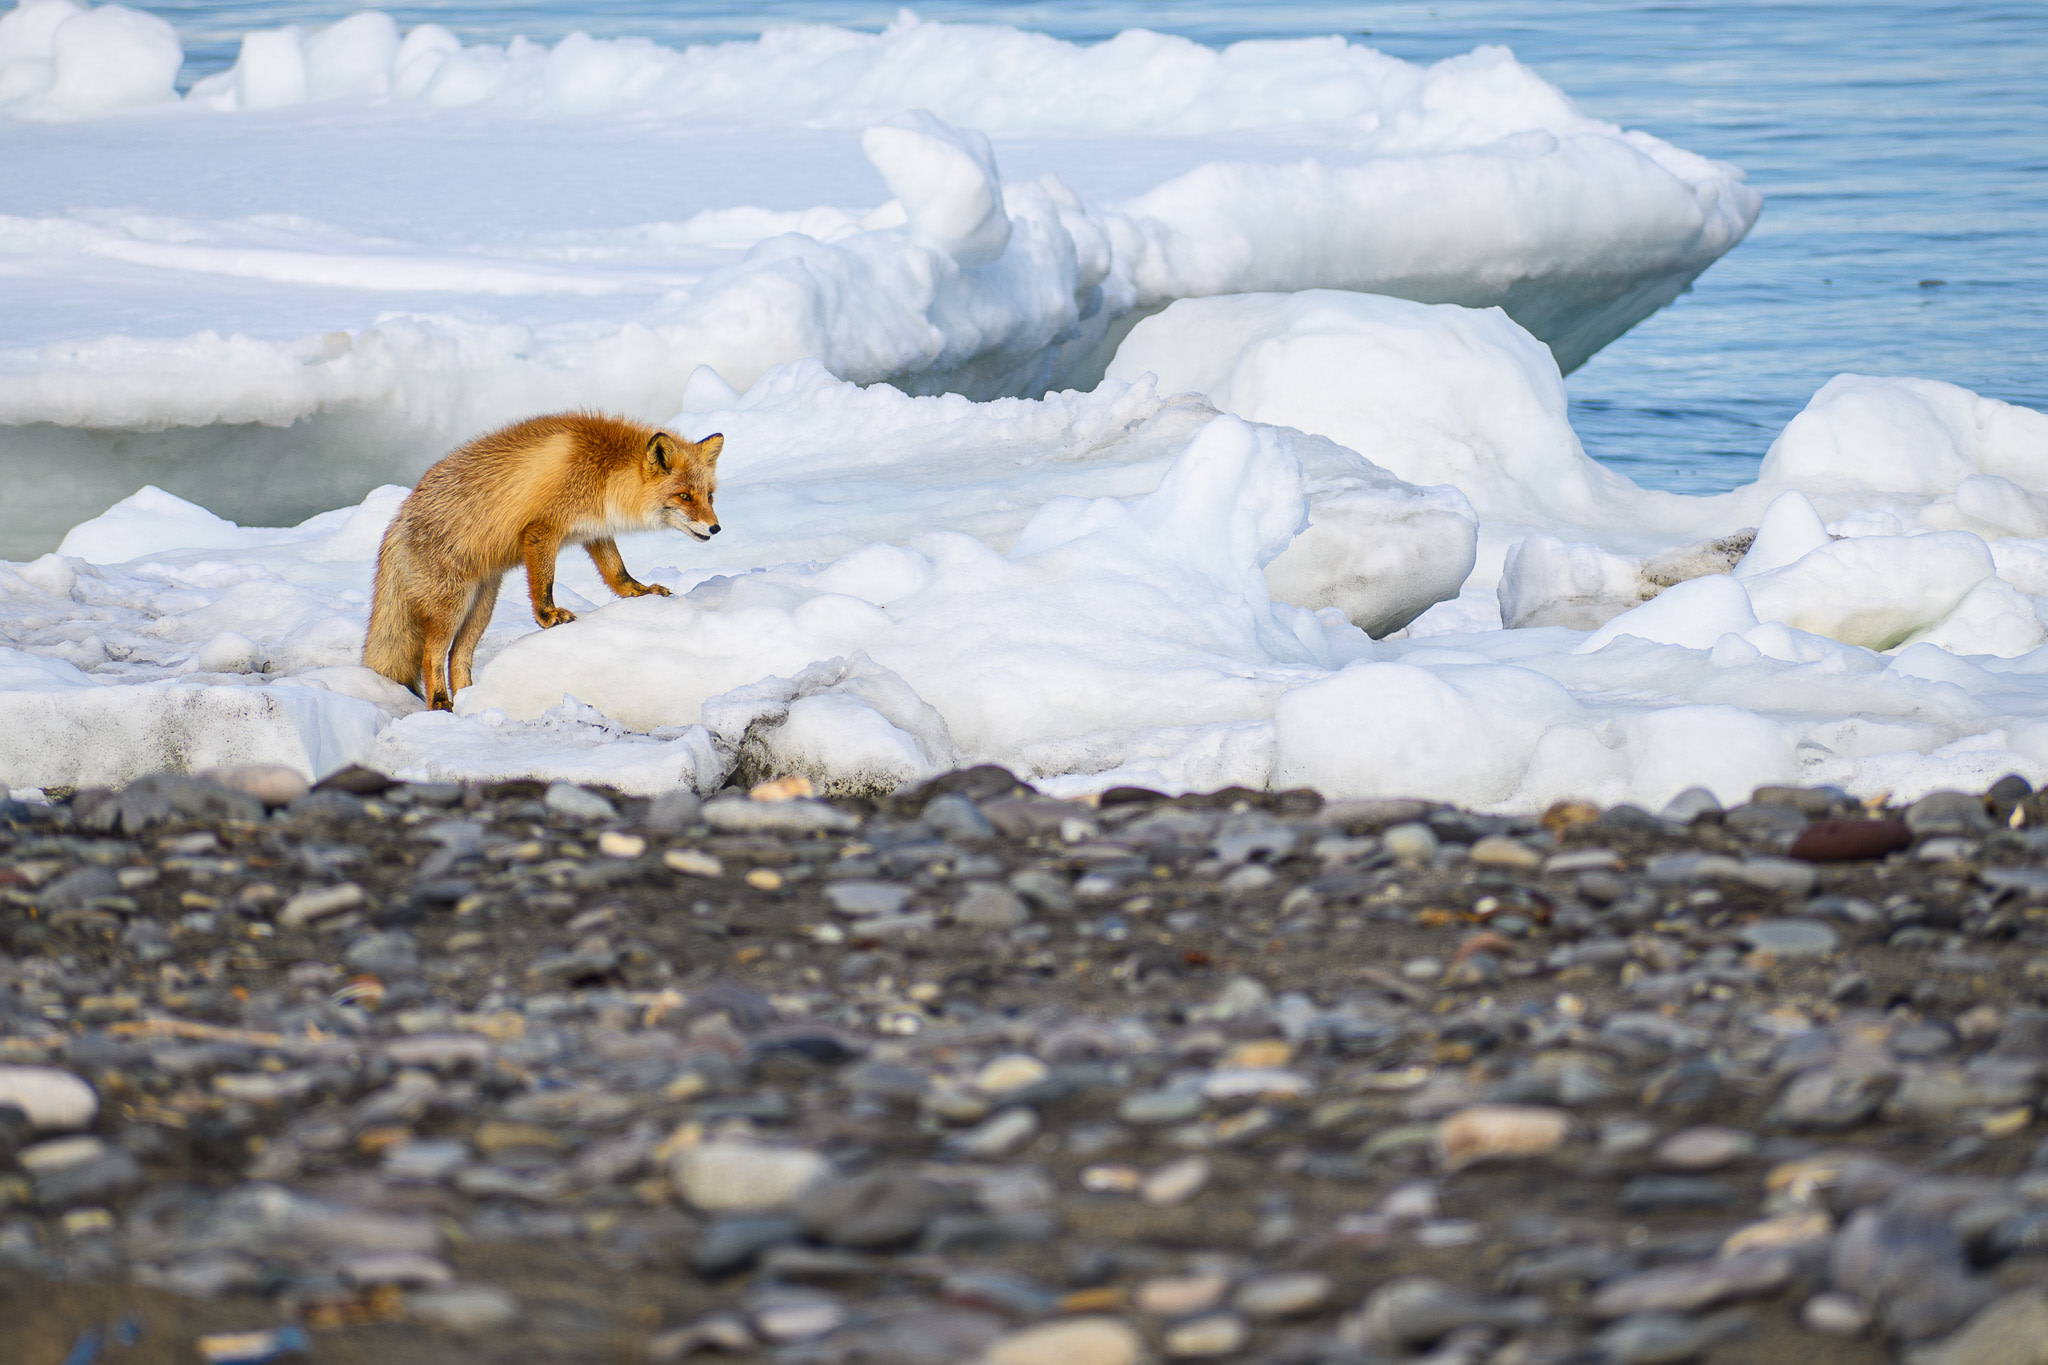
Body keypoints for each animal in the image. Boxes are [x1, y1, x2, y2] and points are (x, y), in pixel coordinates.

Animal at [364, 411, 724, 712]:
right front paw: (549, 617)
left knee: (457, 657)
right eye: (684, 496)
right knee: (432, 655)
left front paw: (642, 592)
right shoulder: (542, 530)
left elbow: (617, 573)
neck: (603, 472)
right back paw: (440, 701)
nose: (716, 528)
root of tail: (396, 521)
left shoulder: (593, 531)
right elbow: (544, 582)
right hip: (450, 607)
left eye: (709, 496)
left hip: (481, 608)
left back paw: (471, 701)